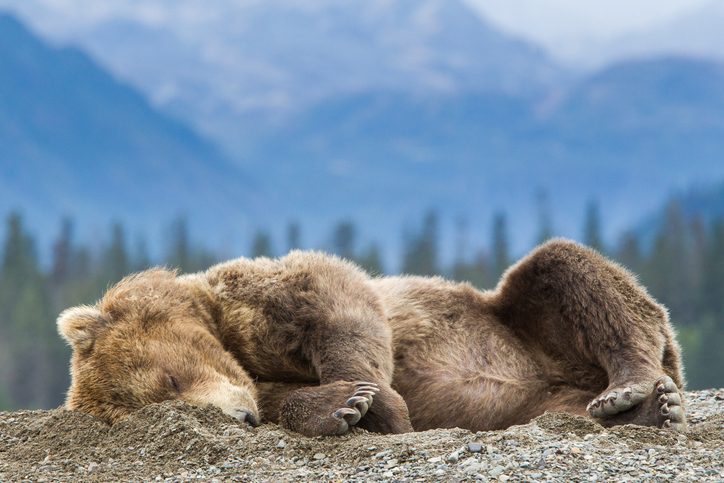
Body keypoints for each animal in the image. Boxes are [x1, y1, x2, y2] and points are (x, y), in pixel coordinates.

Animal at [56, 240, 684, 436]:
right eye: (159, 406)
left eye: (170, 377)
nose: (240, 420)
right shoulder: (262, 382)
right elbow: (289, 398)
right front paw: (342, 407)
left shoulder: (251, 299)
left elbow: (335, 301)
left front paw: (373, 401)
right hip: (535, 400)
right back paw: (638, 410)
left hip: (520, 320)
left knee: (569, 272)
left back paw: (631, 388)